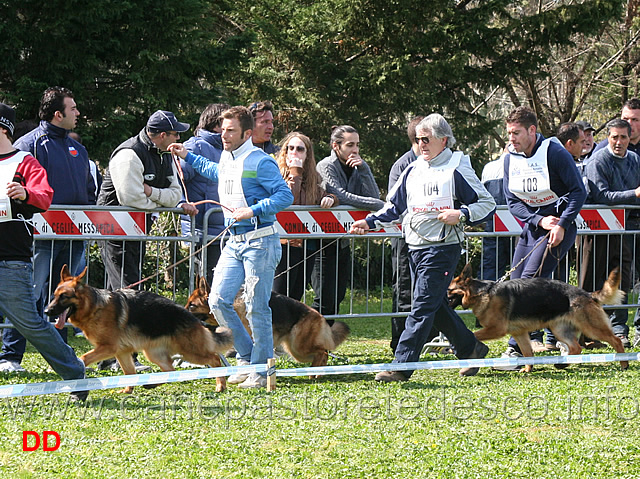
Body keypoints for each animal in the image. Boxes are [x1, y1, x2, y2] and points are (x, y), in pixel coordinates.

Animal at [45, 266, 235, 394]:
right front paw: (128, 390)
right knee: (171, 370)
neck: (94, 307)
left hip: (190, 352)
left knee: (214, 358)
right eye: (54, 296)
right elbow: (129, 372)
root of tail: (192, 318)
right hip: (153, 353)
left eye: (64, 297)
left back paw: (221, 385)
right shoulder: (121, 352)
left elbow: (83, 358)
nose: (46, 311)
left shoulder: (108, 348)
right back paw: (151, 384)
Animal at [185, 274, 350, 376]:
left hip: (299, 347)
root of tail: (319, 316)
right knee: (323, 353)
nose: (181, 313)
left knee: (323, 352)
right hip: (297, 352)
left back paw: (315, 373)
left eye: (192, 305)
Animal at [448, 264, 628, 374]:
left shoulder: (496, 329)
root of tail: (588, 294)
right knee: (576, 347)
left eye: (449, 290)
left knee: (616, 340)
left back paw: (624, 363)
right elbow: (528, 352)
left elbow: (473, 334)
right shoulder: (519, 333)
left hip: (592, 328)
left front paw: (452, 346)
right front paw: (528, 369)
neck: (481, 293)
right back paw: (563, 363)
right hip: (559, 330)